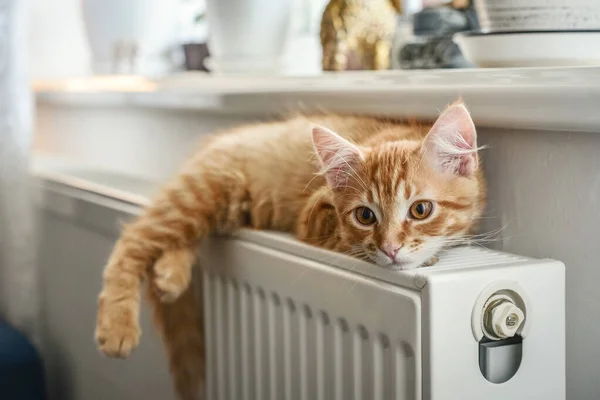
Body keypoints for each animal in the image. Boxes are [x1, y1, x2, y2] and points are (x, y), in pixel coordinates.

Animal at [95, 101, 488, 396]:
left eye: (420, 210)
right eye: (365, 216)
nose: (391, 247)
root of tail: (220, 139)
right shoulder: (312, 220)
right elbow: (348, 242)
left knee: (178, 236)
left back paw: (170, 274)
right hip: (204, 192)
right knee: (135, 237)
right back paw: (117, 324)